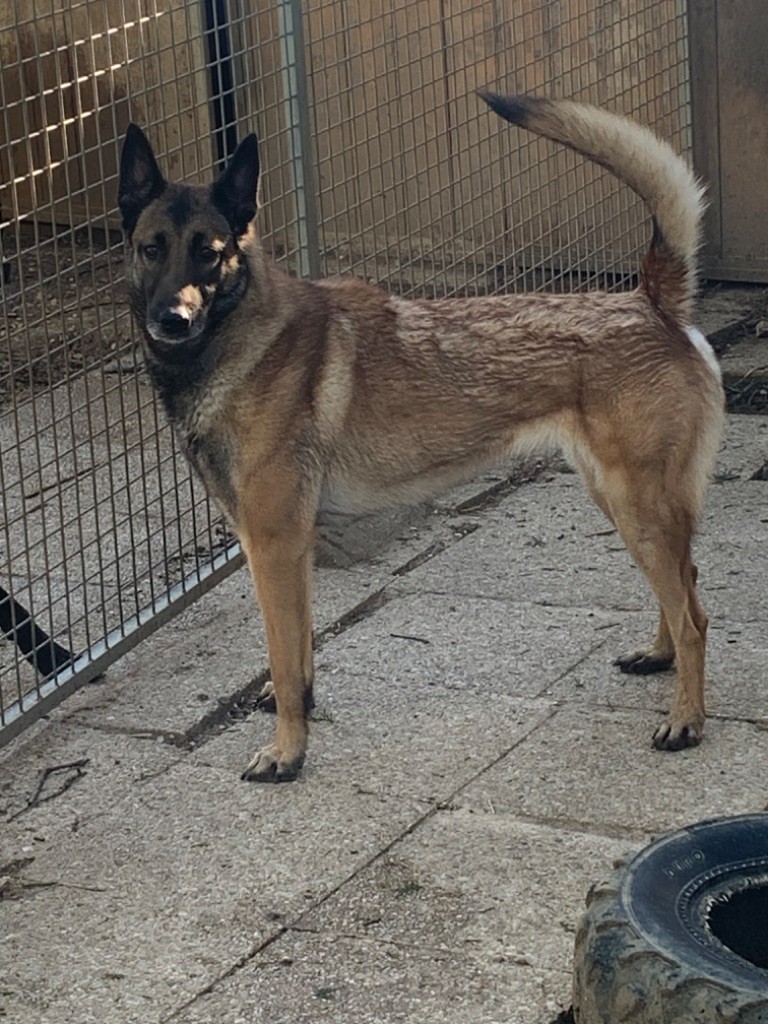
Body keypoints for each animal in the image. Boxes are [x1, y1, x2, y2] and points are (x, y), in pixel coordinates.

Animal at [118, 96, 729, 782]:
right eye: (151, 249)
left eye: (210, 251)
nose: (173, 319)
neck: (243, 336)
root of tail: (653, 301)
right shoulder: (290, 549)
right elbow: (298, 655)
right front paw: (297, 714)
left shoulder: (272, 544)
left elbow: (281, 654)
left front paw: (287, 752)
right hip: (623, 504)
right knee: (683, 584)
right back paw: (659, 657)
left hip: (637, 505)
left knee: (694, 616)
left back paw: (686, 719)